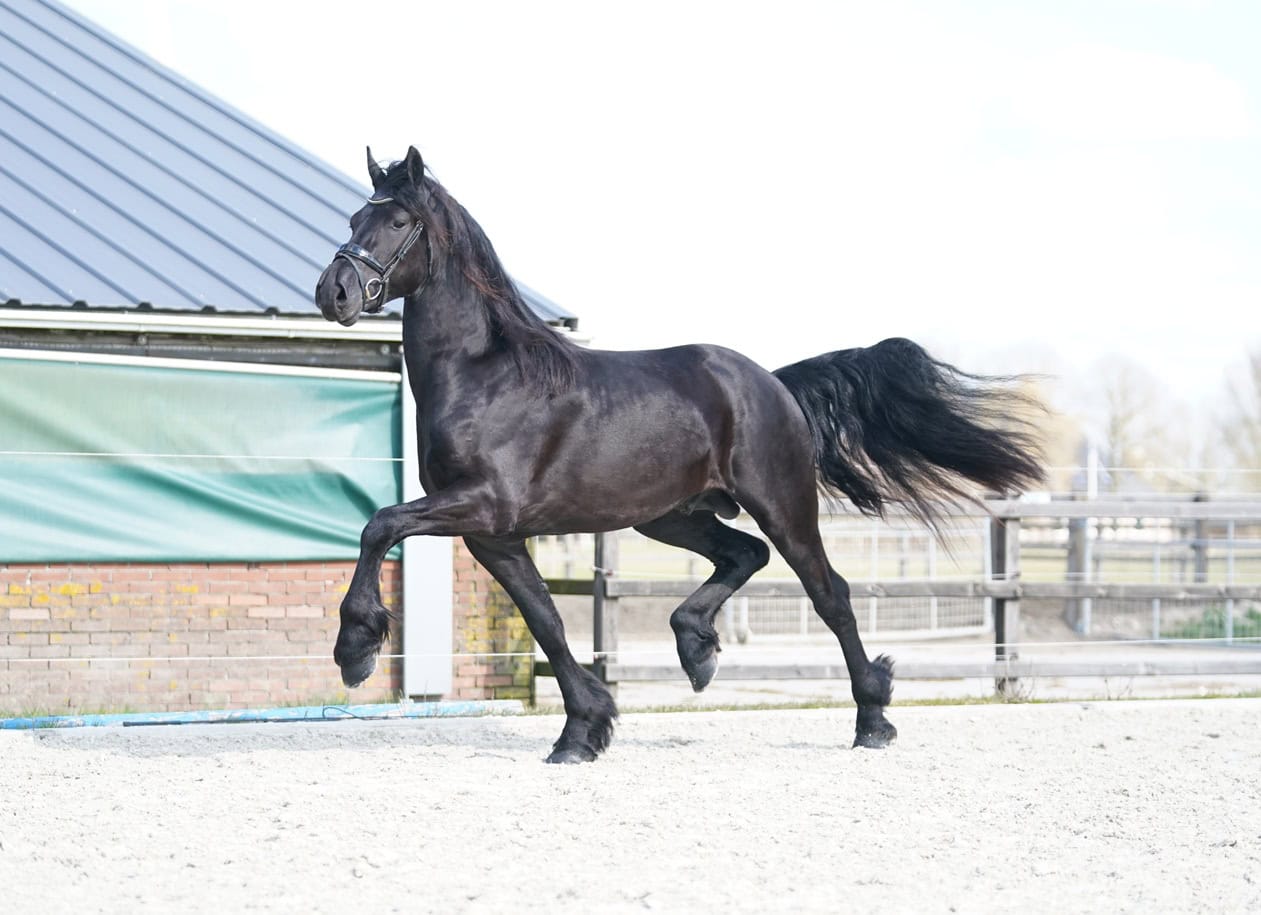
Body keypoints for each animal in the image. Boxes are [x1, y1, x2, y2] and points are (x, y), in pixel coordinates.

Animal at [315, 146, 1043, 763]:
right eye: (353, 218)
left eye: (397, 219)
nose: (335, 292)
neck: (484, 376)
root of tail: (773, 382)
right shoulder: (494, 534)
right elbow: (545, 620)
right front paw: (583, 731)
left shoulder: (481, 507)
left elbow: (378, 523)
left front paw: (356, 650)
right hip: (670, 515)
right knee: (744, 555)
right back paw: (697, 649)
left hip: (780, 503)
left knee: (827, 592)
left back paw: (872, 720)